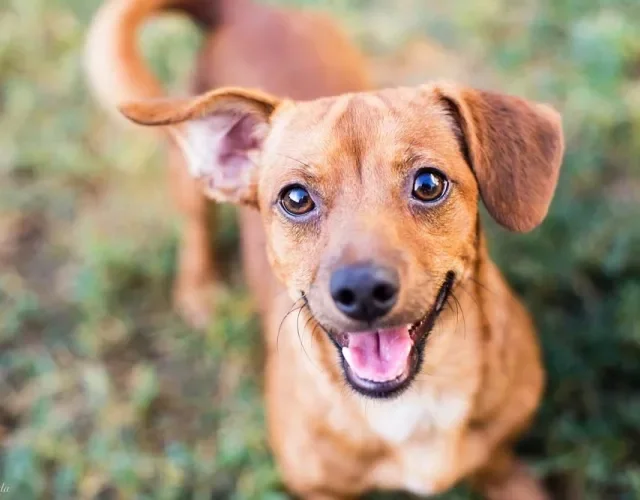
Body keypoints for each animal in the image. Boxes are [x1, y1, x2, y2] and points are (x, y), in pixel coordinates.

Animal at [86, 0, 564, 500]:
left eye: (429, 184)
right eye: (296, 198)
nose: (363, 291)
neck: (413, 409)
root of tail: (243, 11)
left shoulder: (503, 465)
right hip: (188, 183)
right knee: (196, 227)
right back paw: (200, 291)